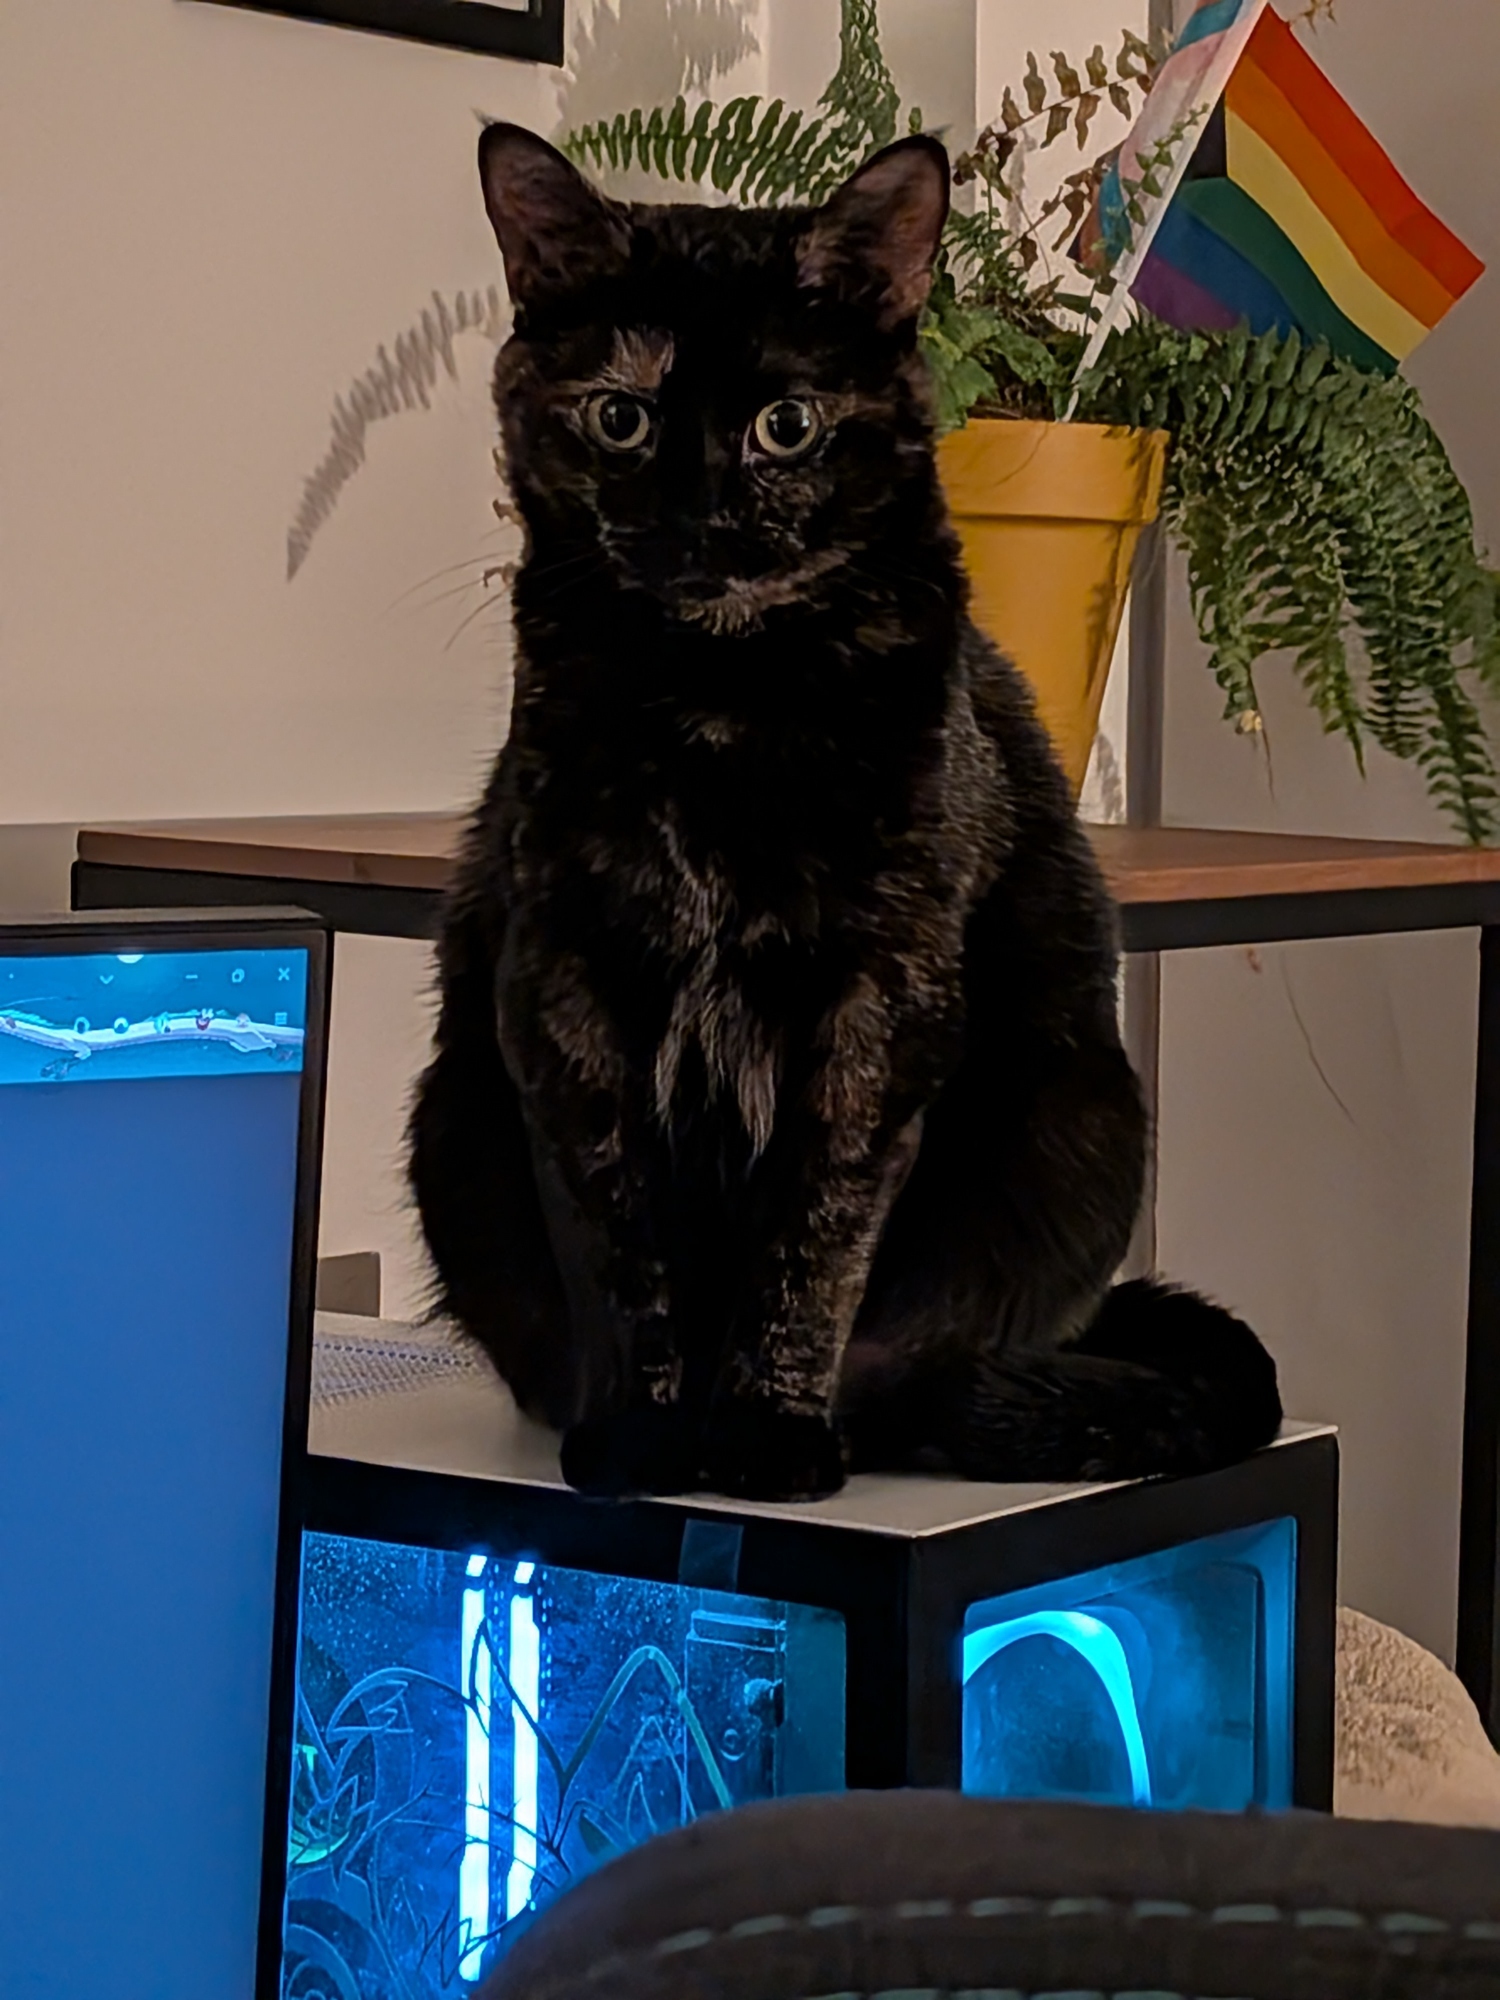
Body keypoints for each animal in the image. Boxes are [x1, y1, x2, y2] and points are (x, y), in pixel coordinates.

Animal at [408, 122, 1282, 1502]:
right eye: (620, 416)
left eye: (787, 423)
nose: (702, 517)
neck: (717, 707)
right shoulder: (570, 984)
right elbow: (617, 1233)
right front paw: (644, 1435)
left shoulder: (882, 989)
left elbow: (817, 1234)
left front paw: (766, 1433)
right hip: (450, 1126)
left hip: (1083, 1123)